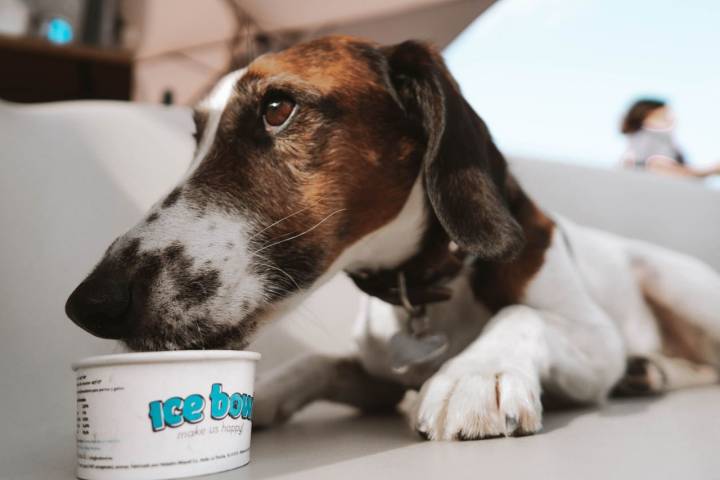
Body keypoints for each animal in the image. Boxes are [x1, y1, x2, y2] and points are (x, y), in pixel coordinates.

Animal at [63, 35, 720, 440]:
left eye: (277, 107)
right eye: (195, 136)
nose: (89, 304)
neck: (425, 290)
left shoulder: (594, 341)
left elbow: (523, 316)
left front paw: (476, 372)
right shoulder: (377, 374)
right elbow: (321, 361)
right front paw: (264, 393)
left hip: (680, 289)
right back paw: (649, 371)